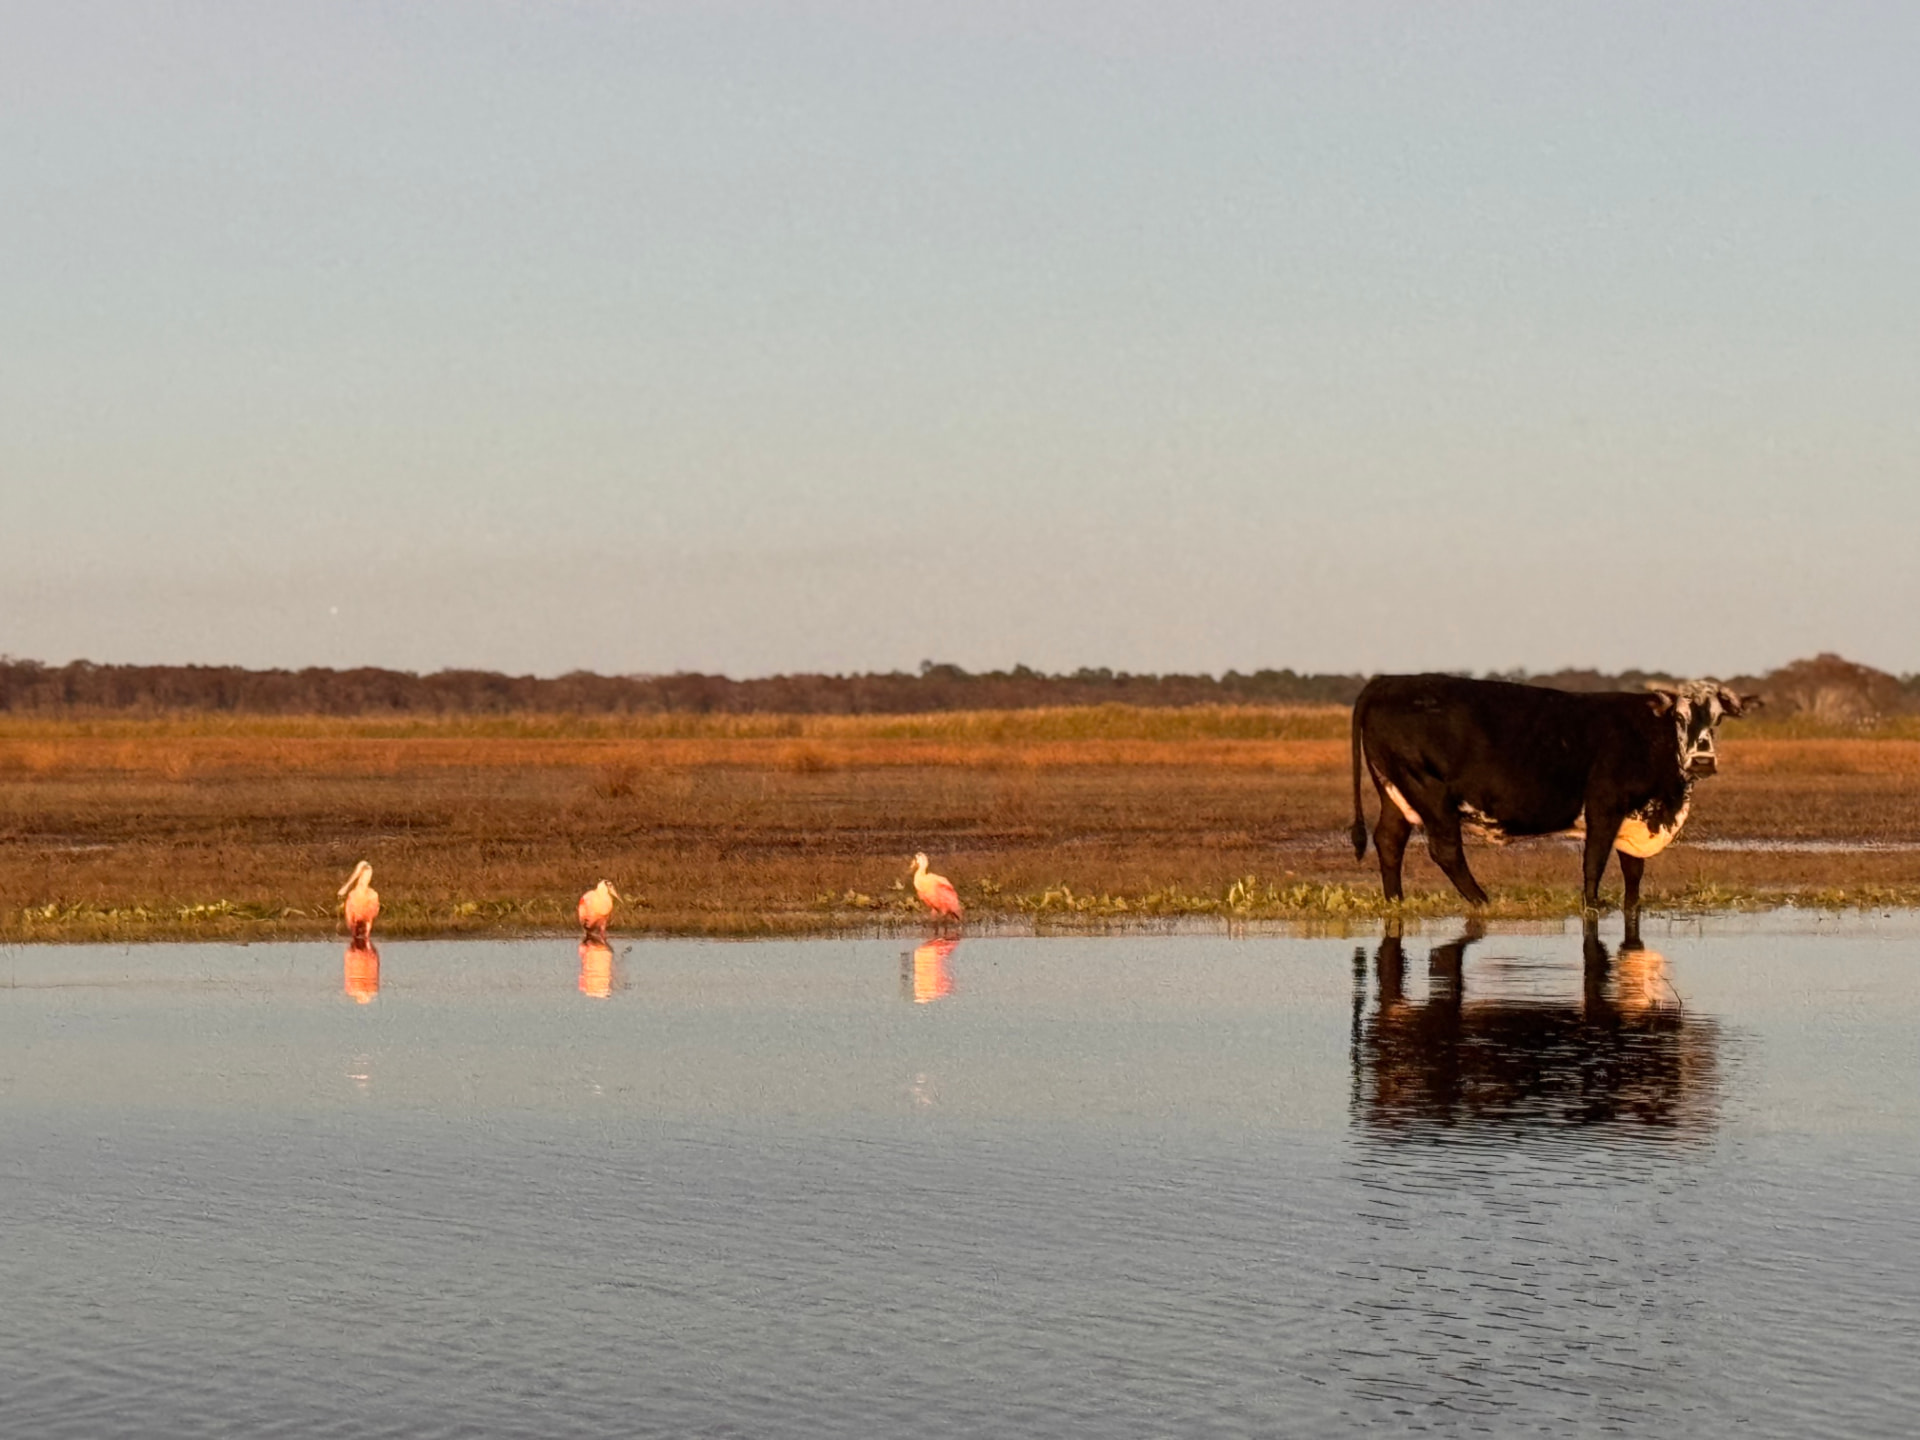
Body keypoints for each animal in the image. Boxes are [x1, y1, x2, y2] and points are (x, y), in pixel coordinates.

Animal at [1349, 675, 1756, 911]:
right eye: (1680, 717)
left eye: (1718, 719)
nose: (1703, 761)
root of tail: (1387, 681)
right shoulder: (1605, 804)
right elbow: (1595, 859)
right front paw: (1593, 903)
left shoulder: (1634, 815)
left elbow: (1633, 868)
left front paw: (1632, 906)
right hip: (1430, 792)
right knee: (1445, 850)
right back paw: (1483, 901)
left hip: (1395, 791)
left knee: (1389, 840)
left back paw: (1396, 900)